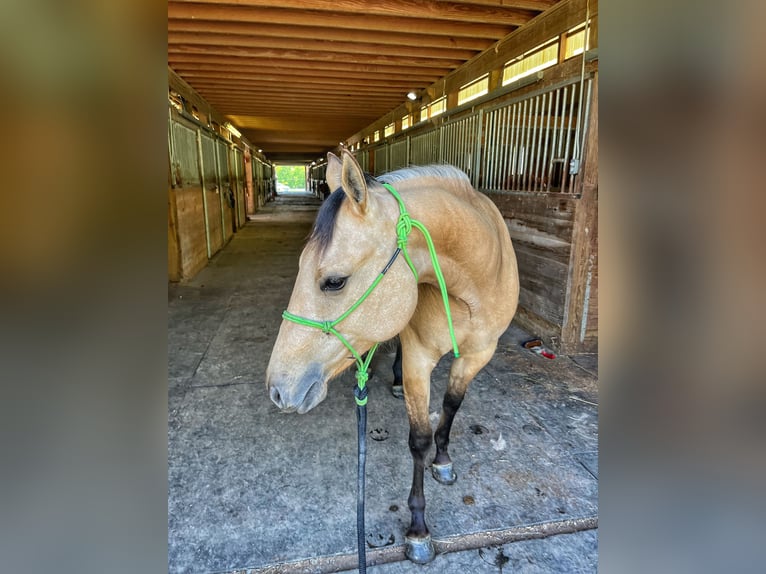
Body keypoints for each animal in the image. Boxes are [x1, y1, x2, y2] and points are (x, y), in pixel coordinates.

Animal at [266, 150, 519, 564]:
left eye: (334, 281)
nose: (277, 389)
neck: (474, 285)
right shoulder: (419, 356)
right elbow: (418, 439)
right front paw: (418, 530)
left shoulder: (479, 355)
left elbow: (450, 406)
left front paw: (443, 462)